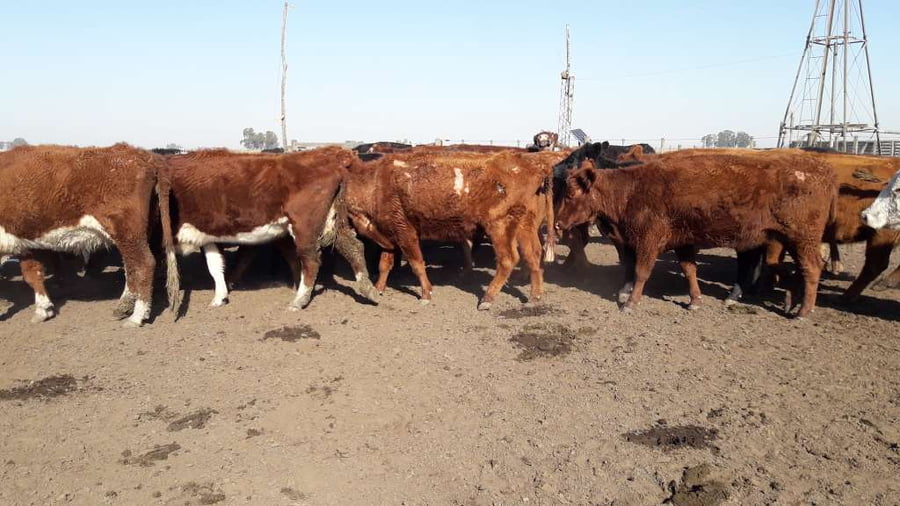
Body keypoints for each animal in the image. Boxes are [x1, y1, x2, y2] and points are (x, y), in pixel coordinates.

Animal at [0, 144, 179, 326]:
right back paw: (123, 307)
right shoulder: (26, 242)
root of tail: (144, 155)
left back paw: (137, 316)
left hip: (128, 233)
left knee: (143, 264)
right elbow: (33, 274)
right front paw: (43, 310)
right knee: (131, 268)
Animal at [161, 146, 378, 310]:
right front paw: (219, 298)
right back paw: (369, 289)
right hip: (333, 222)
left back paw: (299, 300)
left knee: (311, 260)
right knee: (354, 247)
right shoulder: (207, 235)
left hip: (305, 226)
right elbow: (215, 266)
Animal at [344, 150, 563, 309]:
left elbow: (417, 264)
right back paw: (535, 296)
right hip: (525, 226)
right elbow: (385, 264)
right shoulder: (389, 234)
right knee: (533, 256)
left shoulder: (405, 231)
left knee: (508, 259)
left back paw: (487, 298)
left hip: (499, 226)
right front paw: (378, 288)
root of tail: (533, 164)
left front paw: (426, 294)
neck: (375, 183)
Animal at [555, 149, 838, 318]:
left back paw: (803, 311)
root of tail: (821, 170)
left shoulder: (648, 241)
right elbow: (689, 269)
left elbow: (640, 272)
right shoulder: (682, 242)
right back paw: (791, 300)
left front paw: (630, 302)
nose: (557, 224)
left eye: (571, 193)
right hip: (787, 240)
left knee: (811, 268)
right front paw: (695, 299)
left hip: (802, 238)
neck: (631, 189)